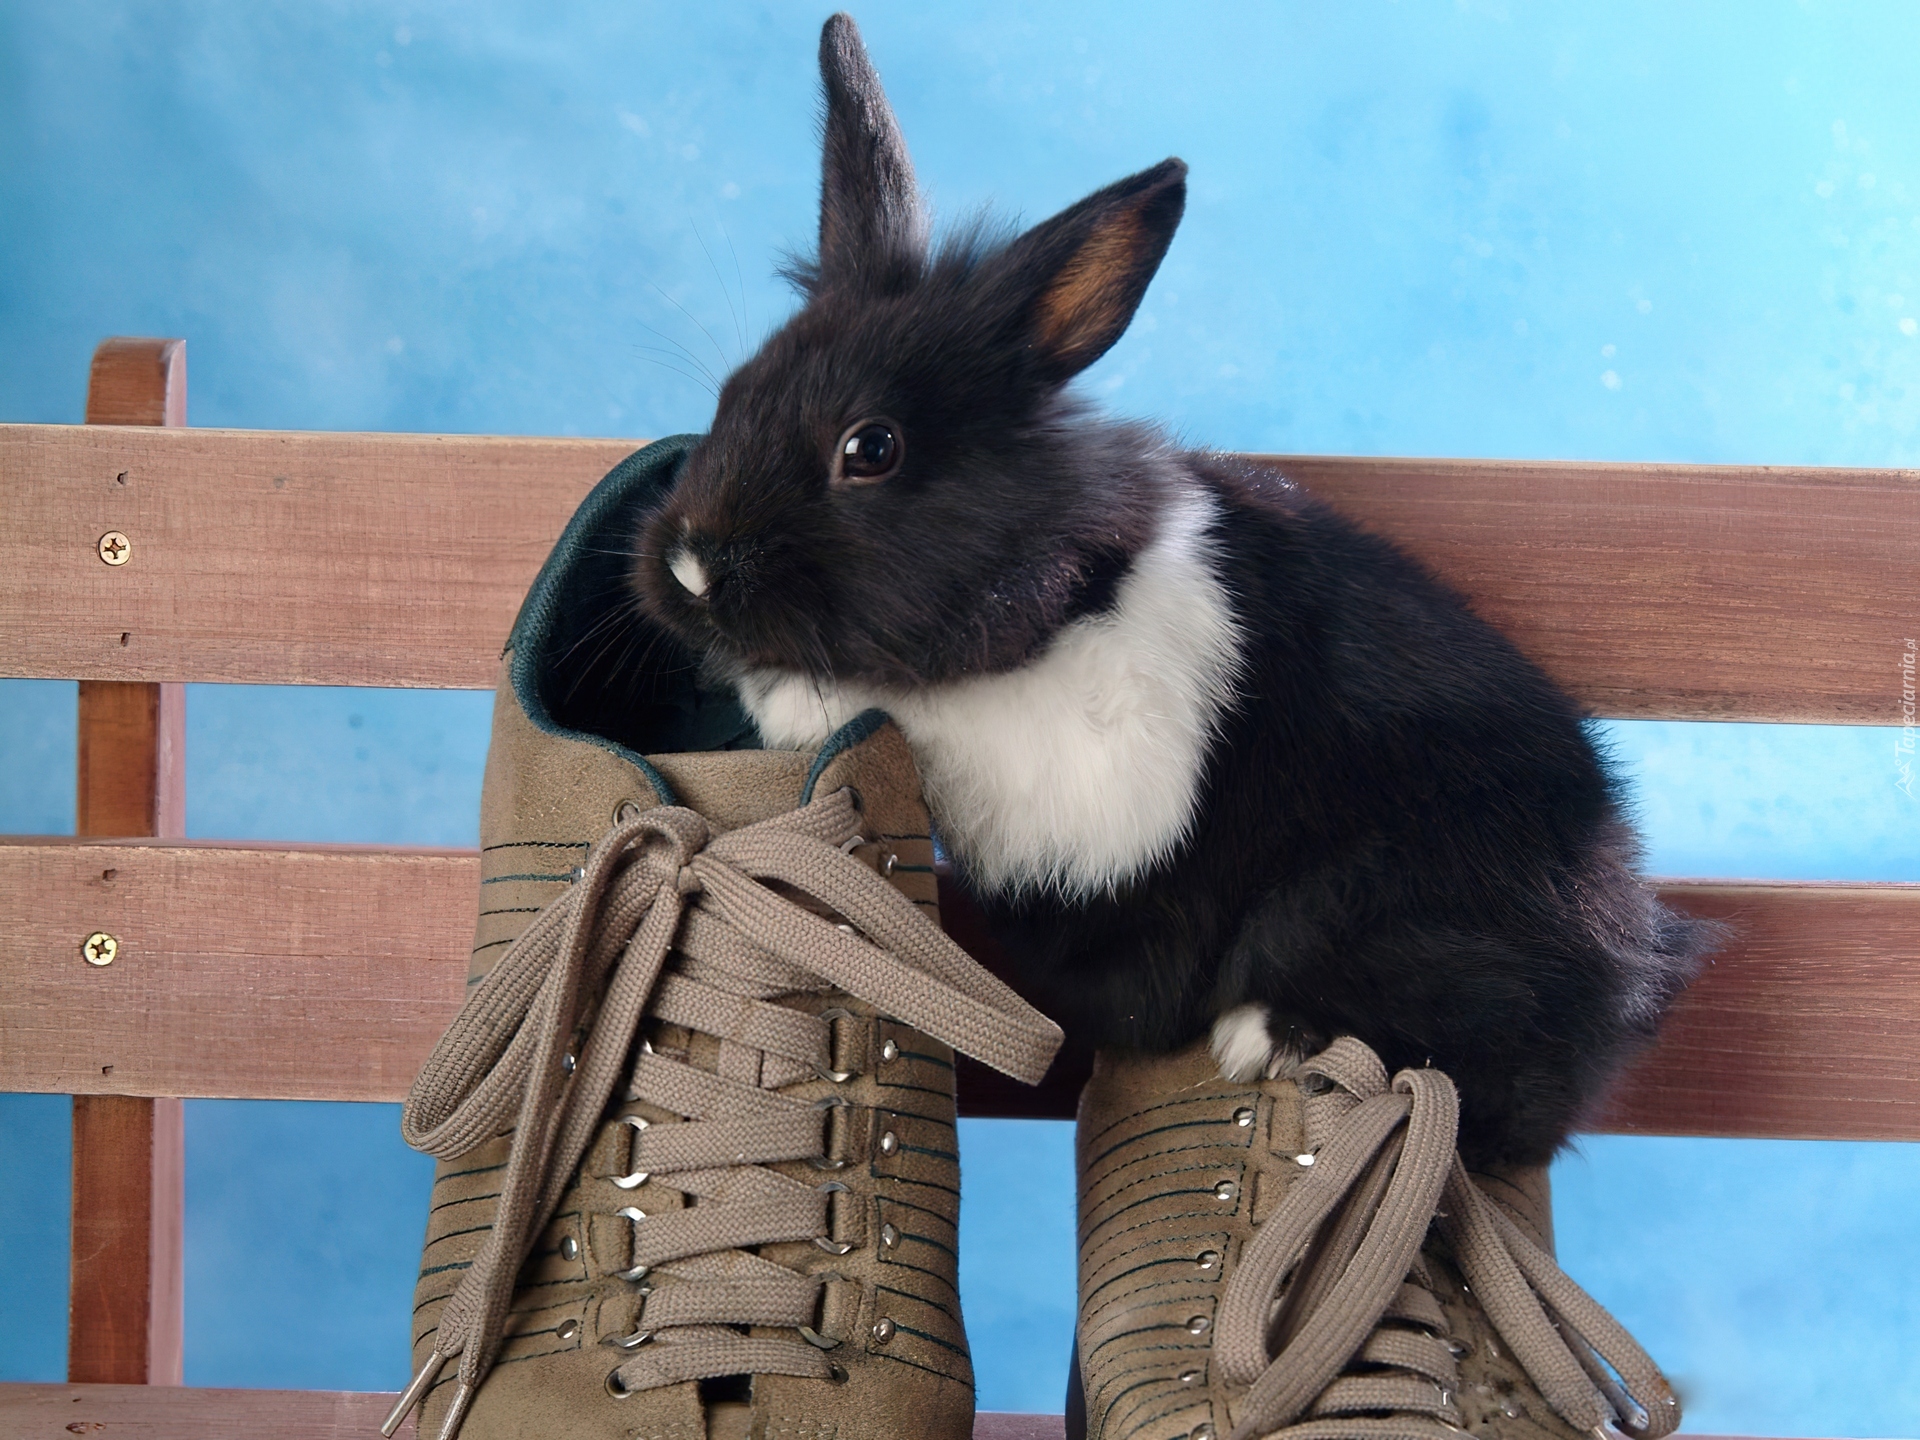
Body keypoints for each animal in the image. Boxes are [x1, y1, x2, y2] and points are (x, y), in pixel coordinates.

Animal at [601, 13, 1721, 1167]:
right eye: (735, 391)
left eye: (871, 449)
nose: (690, 567)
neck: (1067, 593)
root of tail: (1634, 961)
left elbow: (931, 716)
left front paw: (786, 698)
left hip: (1383, 900)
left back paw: (1268, 1034)